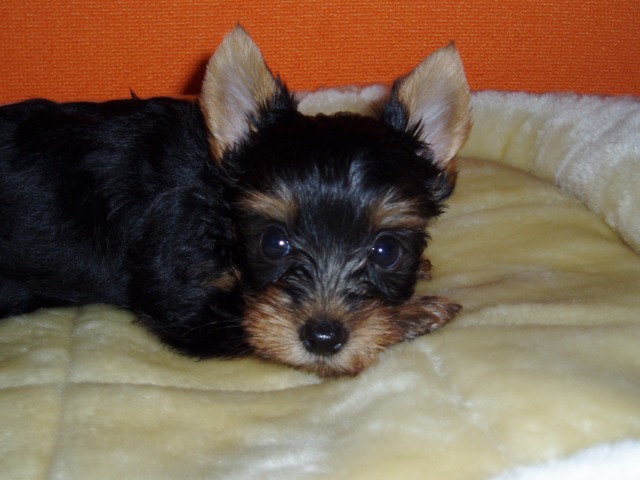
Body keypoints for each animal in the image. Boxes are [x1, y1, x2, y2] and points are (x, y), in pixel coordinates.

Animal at [0, 26, 470, 376]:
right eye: (273, 243)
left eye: (386, 251)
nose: (323, 338)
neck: (217, 206)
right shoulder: (181, 295)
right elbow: (248, 318)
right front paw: (415, 314)